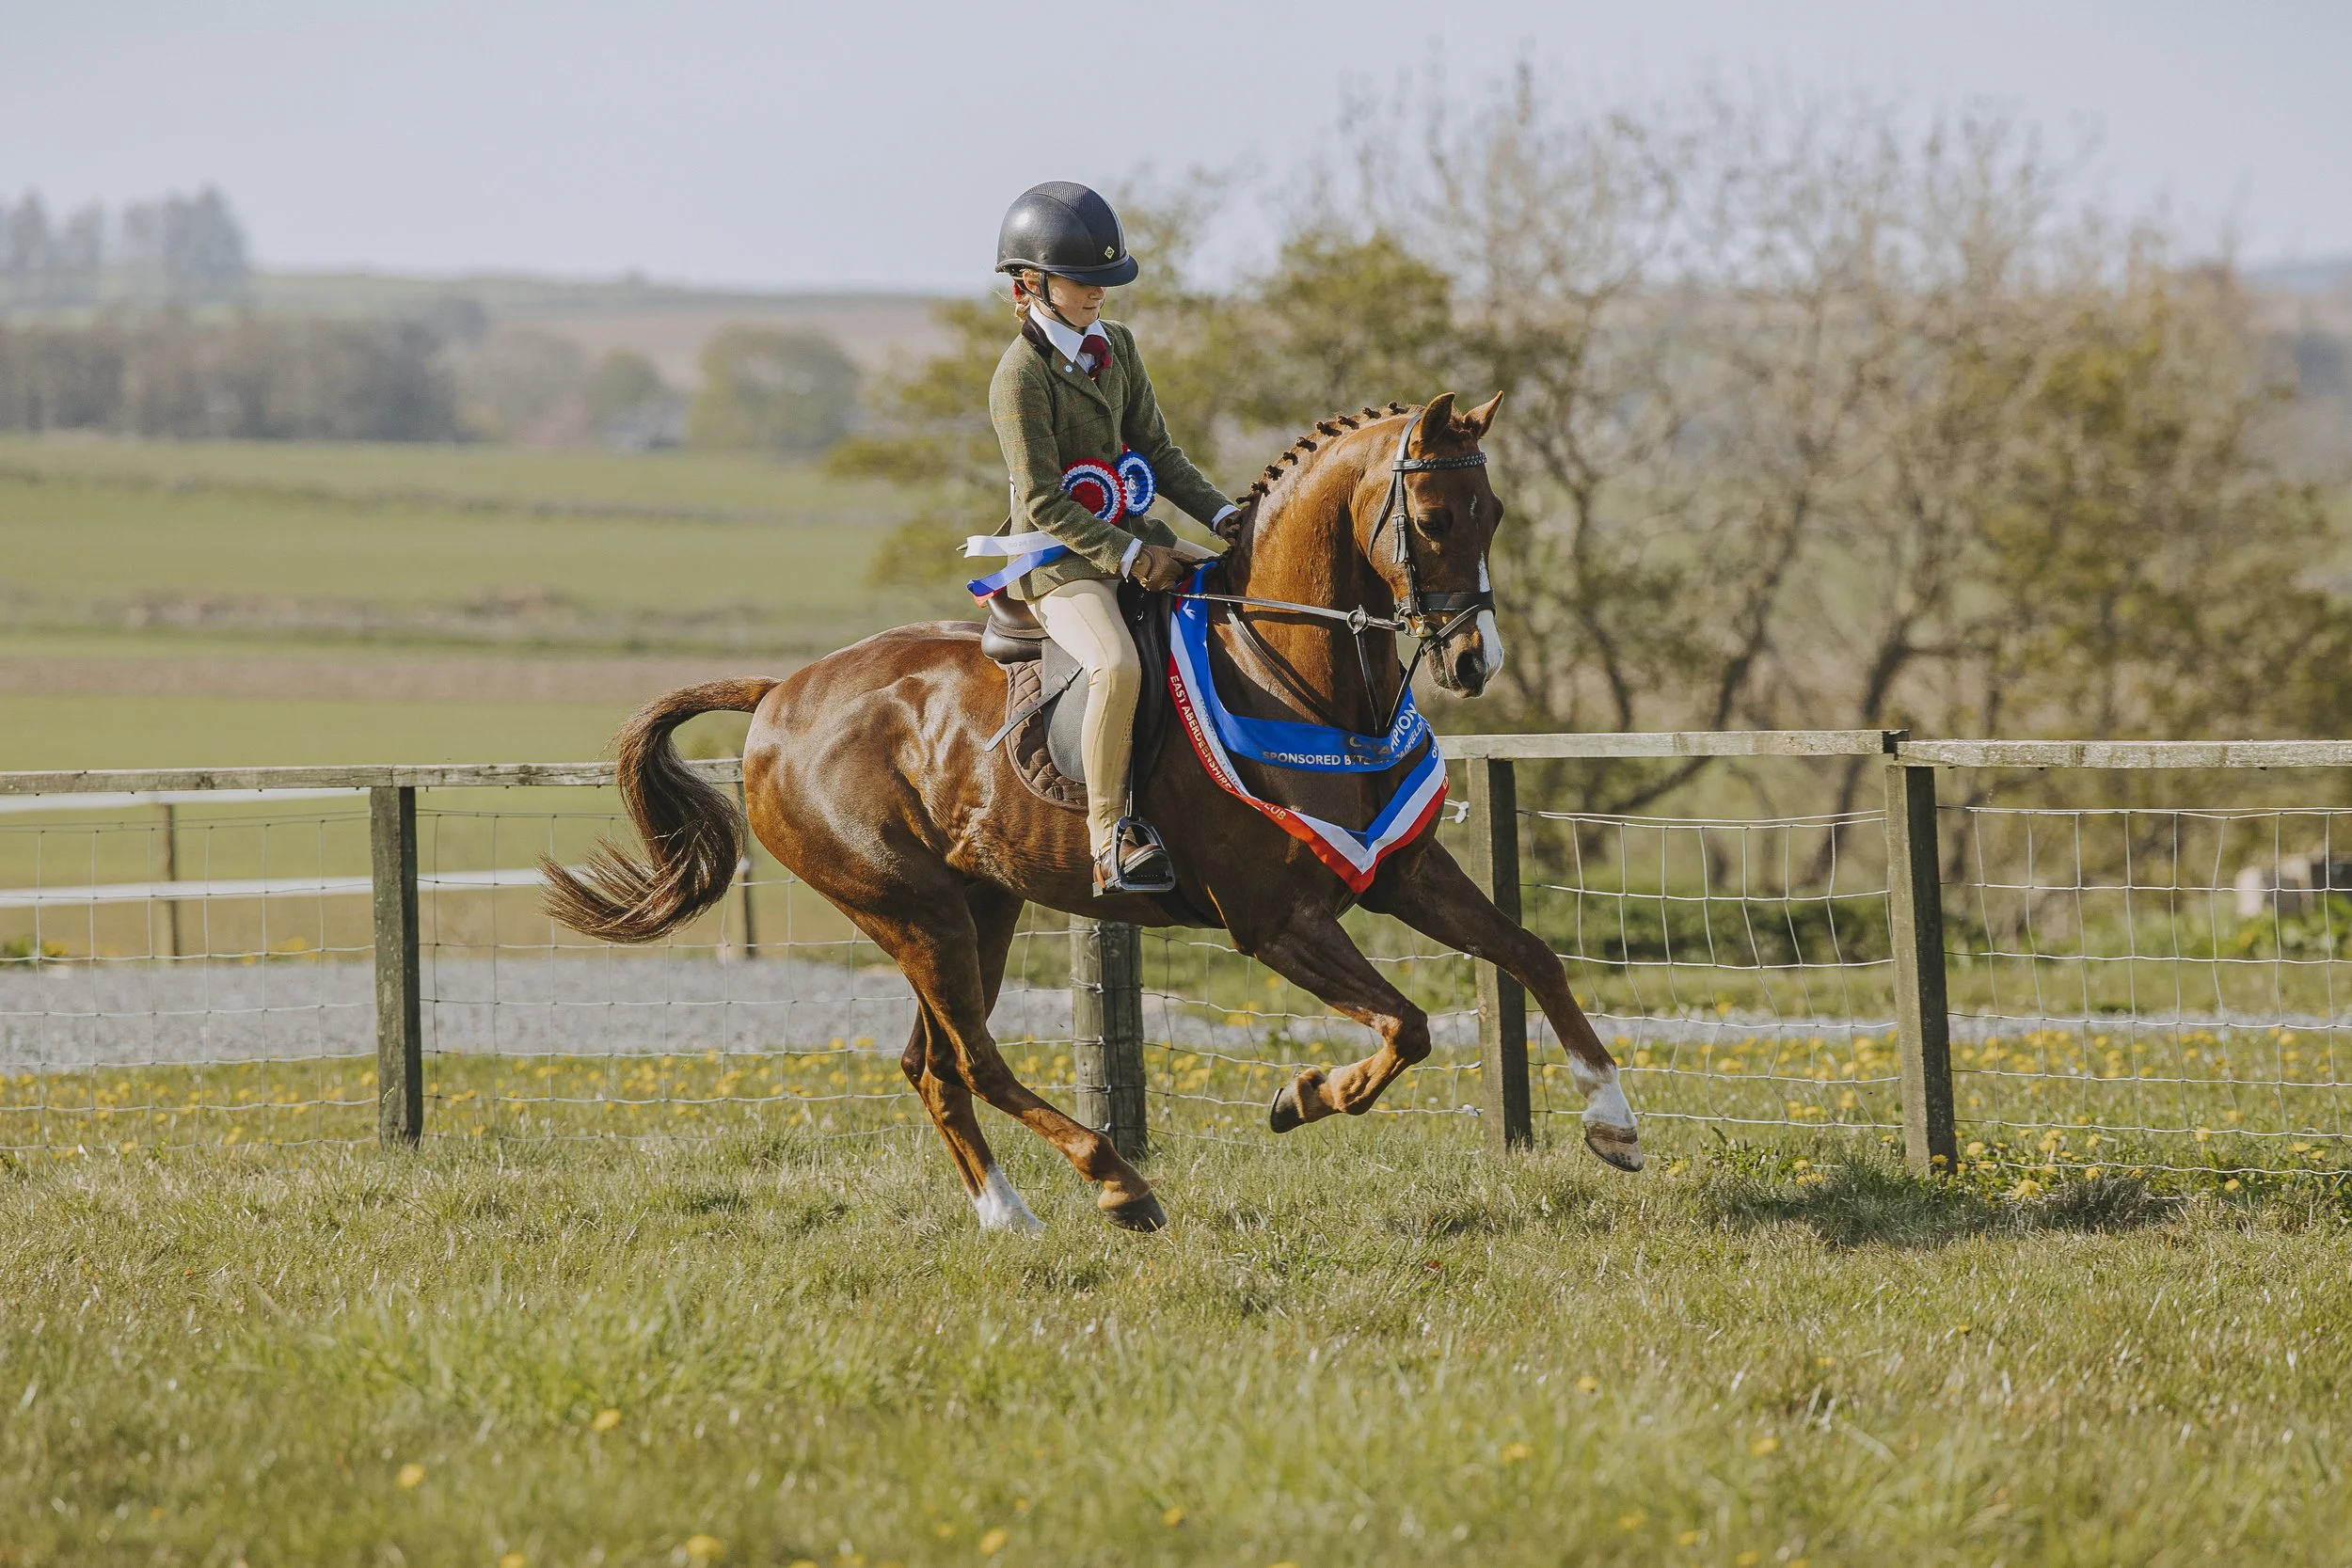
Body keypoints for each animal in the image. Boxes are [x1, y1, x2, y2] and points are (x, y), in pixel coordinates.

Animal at [542, 393, 1644, 1232]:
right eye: (1432, 517)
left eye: (1492, 511)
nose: (1473, 662)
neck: (1303, 679)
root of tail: (780, 694)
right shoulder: (1277, 921)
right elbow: (1406, 1026)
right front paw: (1302, 1097)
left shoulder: (1403, 872)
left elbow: (1530, 955)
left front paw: (1614, 1120)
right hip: (911, 911)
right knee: (974, 1058)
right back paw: (1116, 1183)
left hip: (979, 908)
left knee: (932, 1064)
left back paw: (1009, 1215)